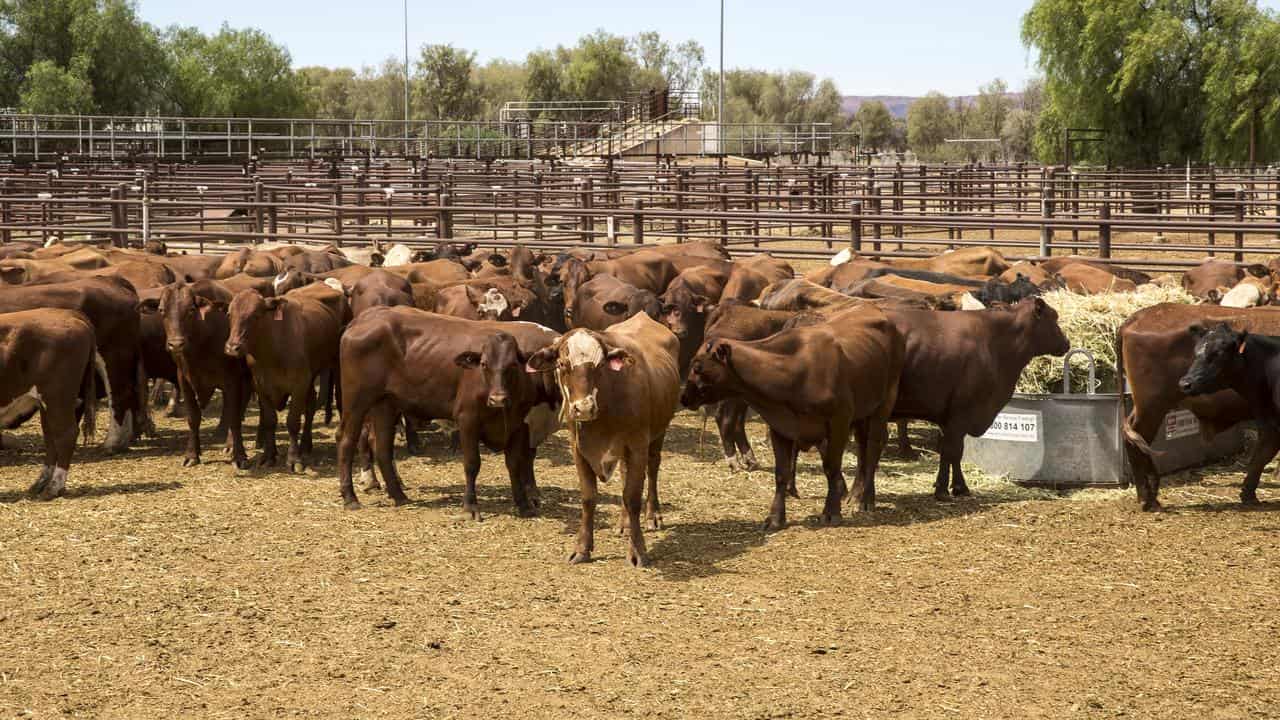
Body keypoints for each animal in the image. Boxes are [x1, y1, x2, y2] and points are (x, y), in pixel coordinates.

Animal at [0, 308, 97, 499]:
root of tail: (68, 314)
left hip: (57, 396)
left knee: (66, 434)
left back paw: (53, 488)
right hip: (46, 403)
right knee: (51, 438)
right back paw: (40, 484)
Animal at [222, 280, 348, 471]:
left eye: (255, 315)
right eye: (230, 314)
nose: (232, 348)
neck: (272, 352)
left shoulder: (299, 385)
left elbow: (293, 421)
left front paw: (294, 459)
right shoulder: (261, 387)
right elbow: (269, 420)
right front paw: (269, 456)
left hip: (333, 365)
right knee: (311, 404)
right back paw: (306, 445)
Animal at [337, 304, 558, 512]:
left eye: (513, 365)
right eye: (484, 364)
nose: (498, 399)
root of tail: (365, 318)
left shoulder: (518, 422)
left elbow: (517, 462)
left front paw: (525, 503)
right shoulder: (471, 419)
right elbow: (478, 463)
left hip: (385, 404)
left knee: (382, 447)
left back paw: (398, 495)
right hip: (356, 401)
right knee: (346, 441)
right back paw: (350, 497)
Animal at [522, 312, 680, 566]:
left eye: (600, 365)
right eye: (562, 364)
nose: (584, 408)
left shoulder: (637, 445)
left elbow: (632, 496)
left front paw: (637, 551)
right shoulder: (578, 448)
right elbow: (589, 498)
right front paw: (582, 548)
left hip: (658, 432)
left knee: (653, 468)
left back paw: (652, 515)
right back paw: (624, 523)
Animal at [686, 304, 906, 525]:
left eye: (698, 367)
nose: (684, 397)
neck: (797, 371)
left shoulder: (839, 423)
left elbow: (831, 467)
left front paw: (831, 511)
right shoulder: (780, 425)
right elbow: (782, 473)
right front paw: (776, 517)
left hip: (884, 403)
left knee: (873, 448)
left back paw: (867, 500)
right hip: (863, 412)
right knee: (863, 448)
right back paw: (855, 495)